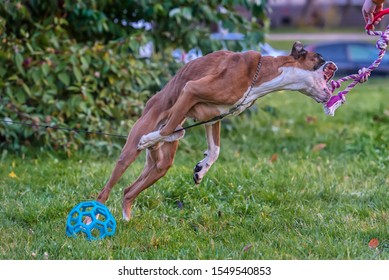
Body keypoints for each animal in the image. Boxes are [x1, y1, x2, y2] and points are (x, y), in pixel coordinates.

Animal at [94, 42, 336, 221]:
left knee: (128, 191)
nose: (334, 65)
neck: (261, 76)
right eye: (320, 57)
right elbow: (167, 129)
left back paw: (127, 219)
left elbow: (214, 149)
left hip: (160, 166)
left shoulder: (213, 117)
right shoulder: (191, 90)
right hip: (129, 154)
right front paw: (149, 138)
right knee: (105, 191)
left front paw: (201, 170)